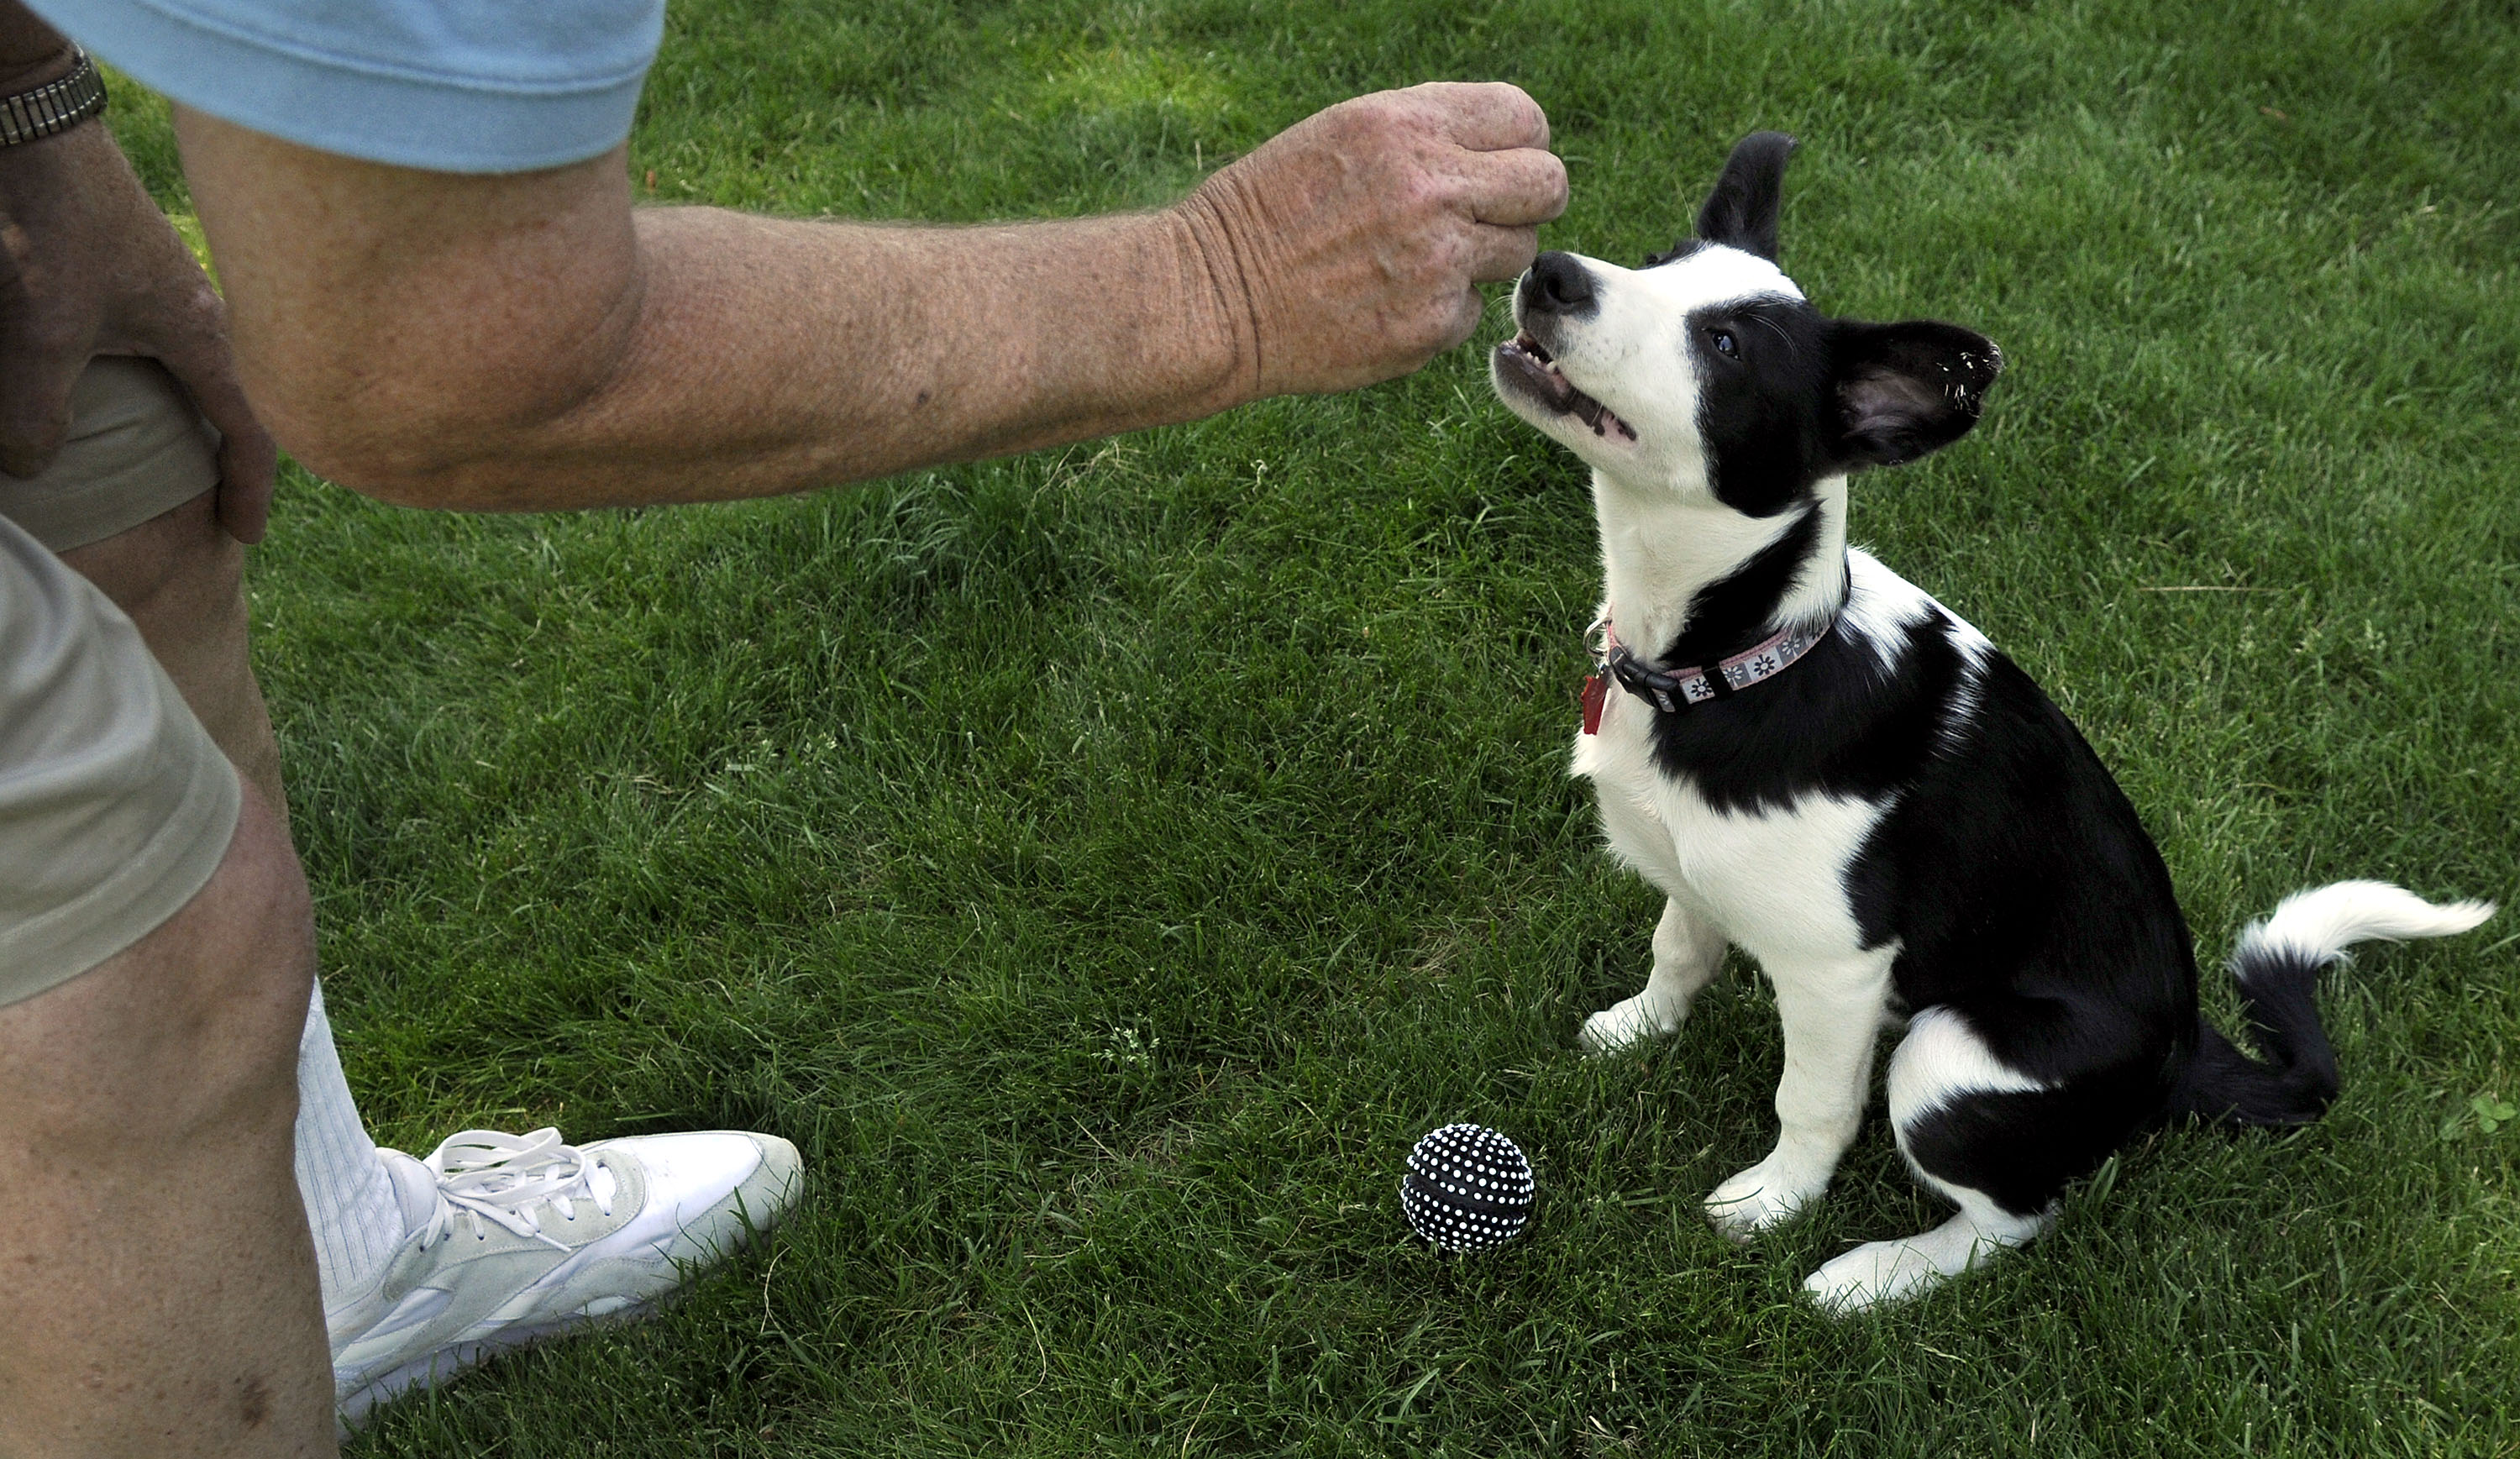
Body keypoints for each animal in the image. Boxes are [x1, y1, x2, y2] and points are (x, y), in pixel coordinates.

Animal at [1492, 137, 2500, 1320]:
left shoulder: (1836, 971)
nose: (1553, 273)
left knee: (2015, 1218)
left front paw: (1771, 1205)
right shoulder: (1699, 872)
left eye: (1726, 345)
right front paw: (1635, 1030)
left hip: (1949, 1055)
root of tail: (2180, 1055)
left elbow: (1811, 1103)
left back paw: (1872, 1277)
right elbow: (1678, 949)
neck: (1743, 658)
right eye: (1654, 264)